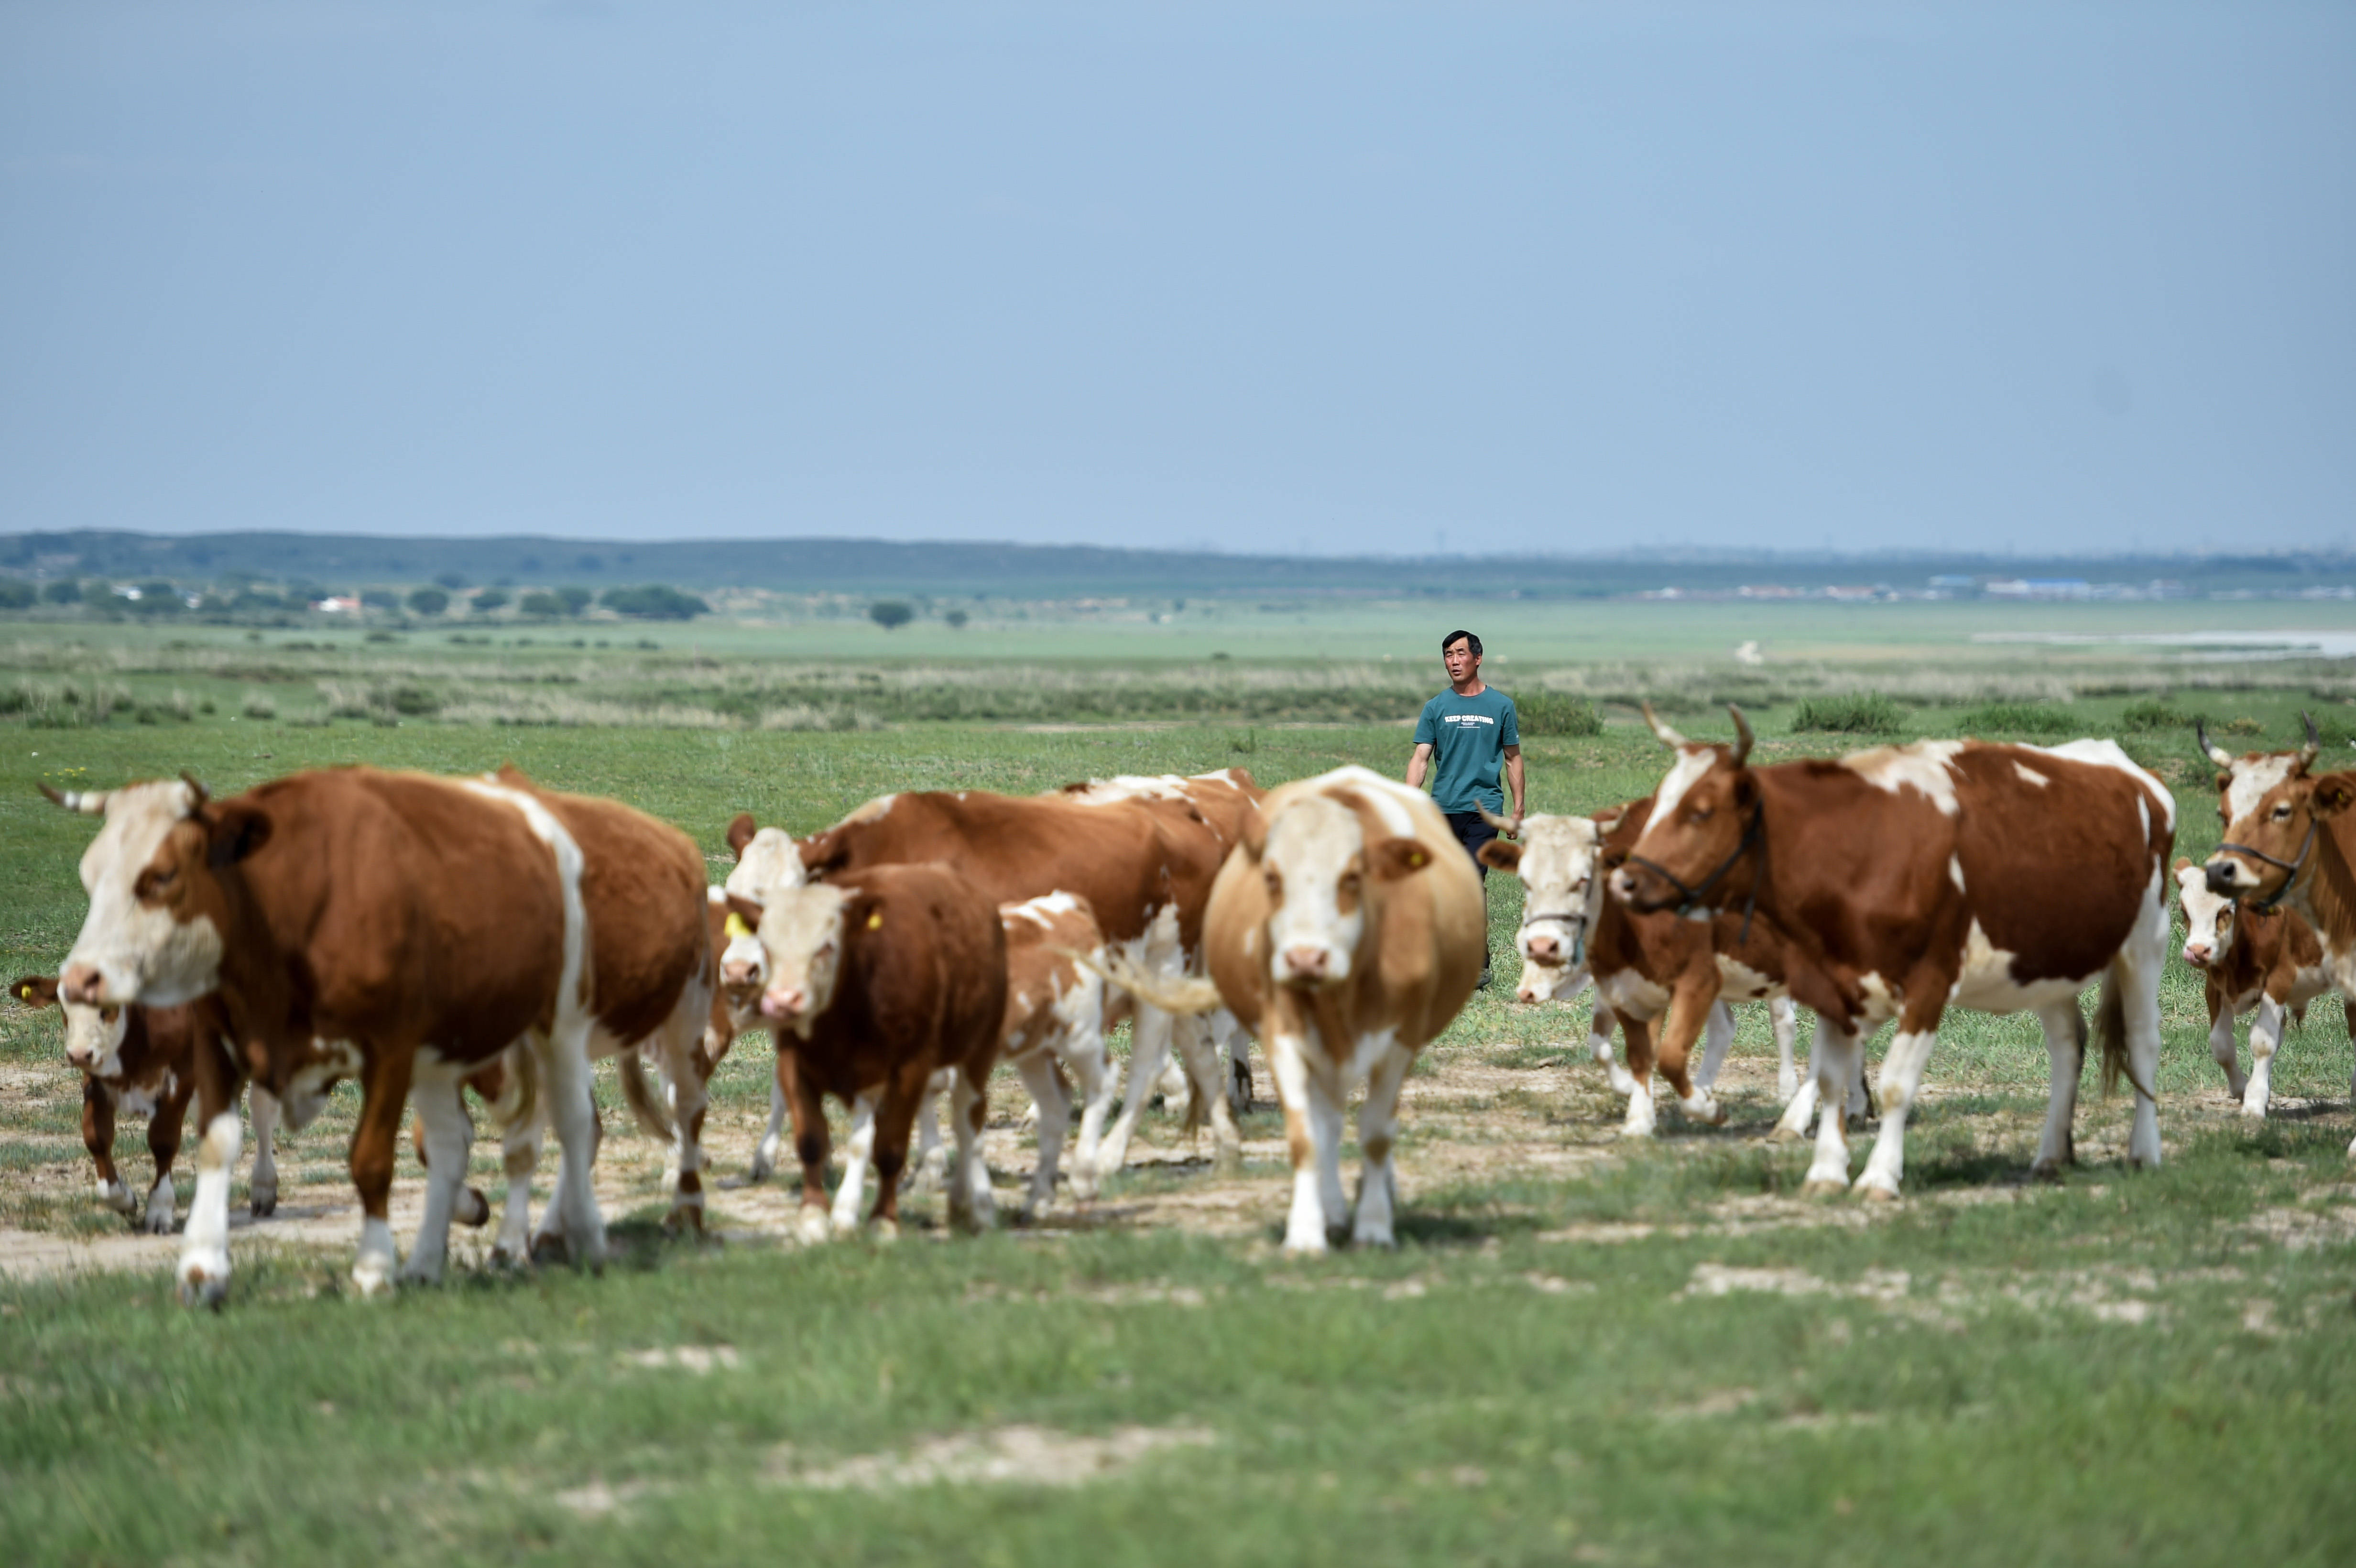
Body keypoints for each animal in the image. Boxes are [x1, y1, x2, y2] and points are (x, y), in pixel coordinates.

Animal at [48, 762, 697, 1299]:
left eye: (160, 876)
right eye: (88, 876)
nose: (80, 979)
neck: (286, 907)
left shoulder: (390, 1049)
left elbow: (370, 1159)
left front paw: (373, 1269)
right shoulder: (217, 1041)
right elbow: (213, 1145)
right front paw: (202, 1268)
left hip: (556, 1029)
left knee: (573, 1124)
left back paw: (581, 1236)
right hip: (447, 1055)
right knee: (453, 1144)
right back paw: (431, 1260)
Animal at [725, 857, 1003, 1233]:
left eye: (828, 945)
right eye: (767, 945)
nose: (781, 1000)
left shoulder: (910, 1068)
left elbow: (889, 1145)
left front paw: (882, 1220)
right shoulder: (801, 1064)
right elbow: (816, 1137)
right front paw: (818, 1216)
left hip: (977, 1052)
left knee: (968, 1120)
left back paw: (977, 1203)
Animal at [1088, 762, 1489, 1252]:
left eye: (1353, 877)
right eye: (1273, 878)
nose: (1304, 958)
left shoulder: (1398, 1039)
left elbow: (1376, 1133)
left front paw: (1373, 1227)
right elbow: (1306, 1134)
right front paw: (1307, 1232)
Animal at [1602, 706, 2167, 1196]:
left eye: (1701, 812)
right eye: (1658, 804)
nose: (1626, 882)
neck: (1858, 855)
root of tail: (2134, 774)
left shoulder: (1929, 984)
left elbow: (1897, 1084)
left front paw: (1878, 1178)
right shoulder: (1833, 984)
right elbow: (1831, 1078)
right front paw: (1826, 1173)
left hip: (2144, 944)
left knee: (2141, 1043)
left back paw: (2144, 1152)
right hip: (2046, 962)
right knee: (2066, 1046)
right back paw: (2051, 1155)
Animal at [2167, 857, 2337, 1111]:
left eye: (2226, 910)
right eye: (2184, 911)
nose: (2198, 951)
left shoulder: (2279, 981)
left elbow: (2264, 1042)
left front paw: (2255, 1101)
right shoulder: (2215, 987)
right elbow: (2221, 1044)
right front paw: (2241, 1088)